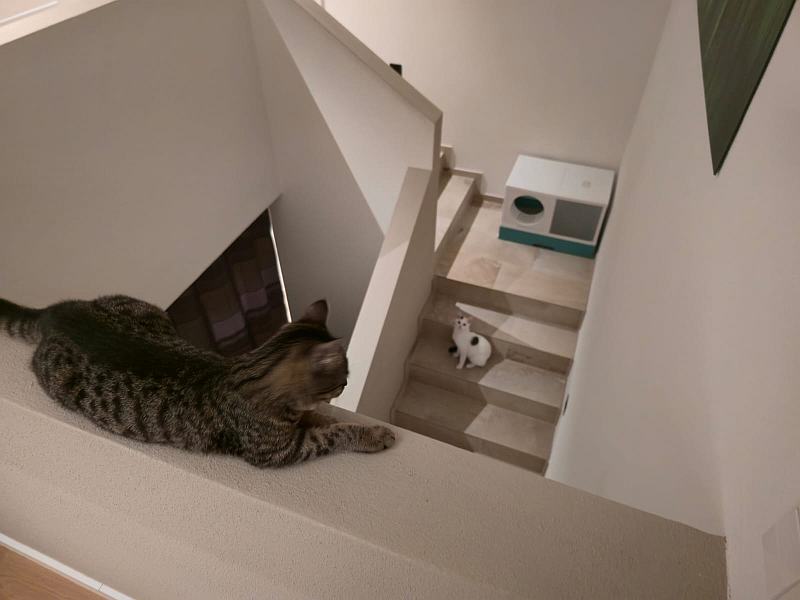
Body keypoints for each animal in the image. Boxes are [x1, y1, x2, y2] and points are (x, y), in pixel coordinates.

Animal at [0, 294, 395, 467]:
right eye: (344, 376)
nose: (346, 387)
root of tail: (56, 312)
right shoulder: (279, 451)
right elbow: (334, 433)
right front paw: (374, 435)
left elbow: (323, 418)